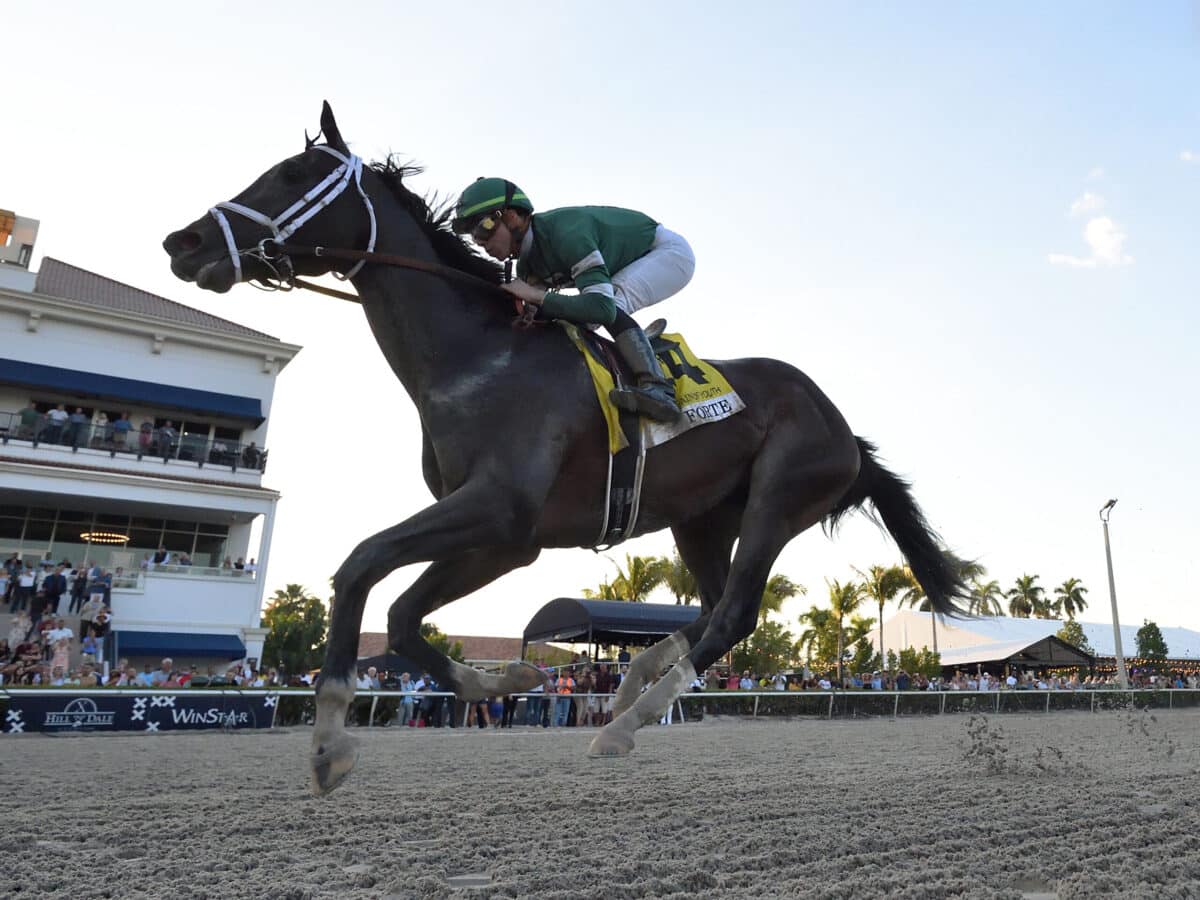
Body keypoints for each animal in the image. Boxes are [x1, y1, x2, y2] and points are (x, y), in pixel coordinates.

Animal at [162, 103, 964, 796]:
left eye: (291, 174)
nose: (184, 243)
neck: (477, 358)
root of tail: (846, 430)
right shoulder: (506, 536)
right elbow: (404, 616)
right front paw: (508, 682)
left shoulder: (500, 512)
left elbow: (360, 565)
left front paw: (330, 743)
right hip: (701, 517)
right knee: (709, 611)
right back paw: (634, 684)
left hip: (779, 495)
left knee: (735, 613)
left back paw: (627, 722)